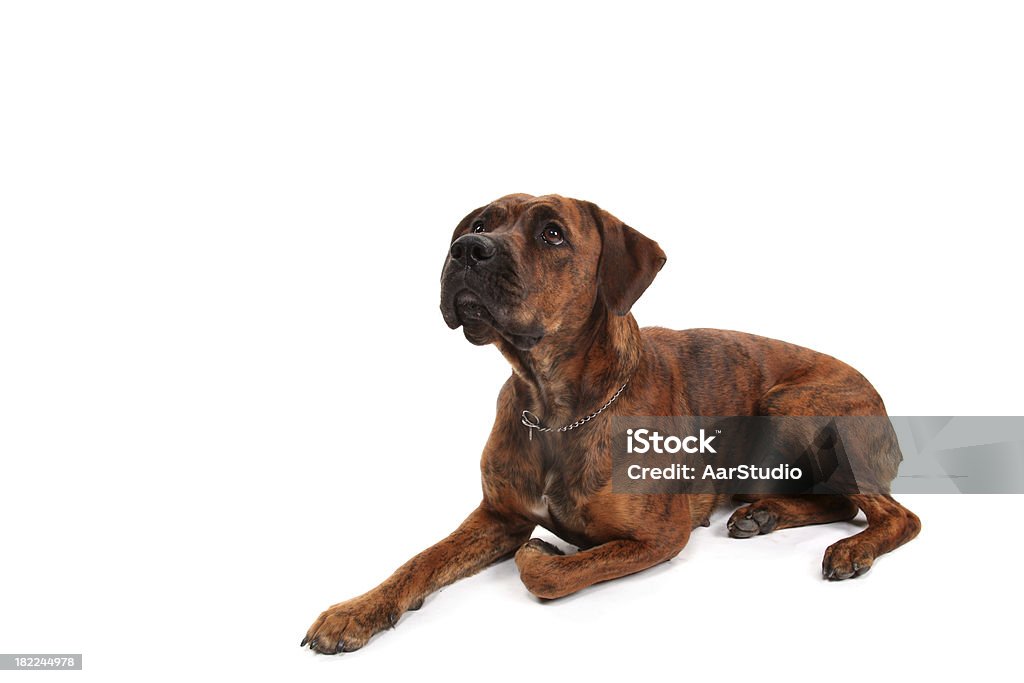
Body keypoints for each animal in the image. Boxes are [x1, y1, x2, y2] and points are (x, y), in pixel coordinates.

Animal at [299, 194, 925, 655]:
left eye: (552, 234)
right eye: (480, 223)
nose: (467, 249)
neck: (553, 407)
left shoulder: (659, 536)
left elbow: (551, 573)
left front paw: (544, 555)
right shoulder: (497, 516)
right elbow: (421, 559)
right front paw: (356, 610)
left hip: (790, 406)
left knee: (896, 515)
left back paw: (852, 549)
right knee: (835, 502)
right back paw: (764, 515)